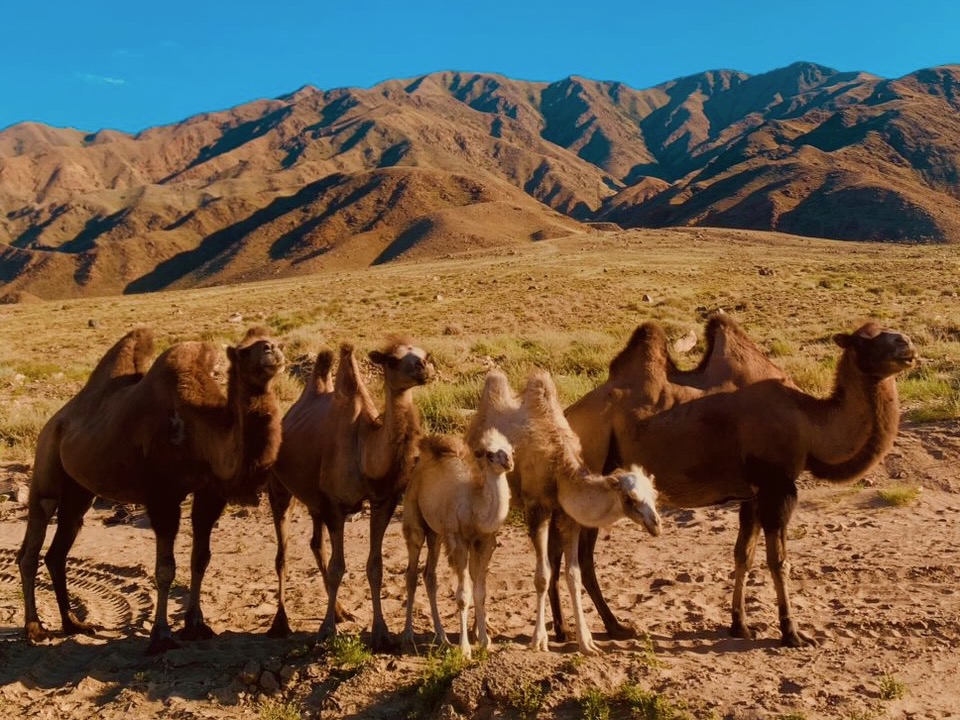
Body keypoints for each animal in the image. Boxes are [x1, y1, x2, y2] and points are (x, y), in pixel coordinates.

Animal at [16, 330, 284, 656]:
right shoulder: (162, 496)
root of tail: (54, 420)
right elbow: (165, 569)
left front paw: (196, 626)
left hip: (79, 491)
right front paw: (161, 636)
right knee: (33, 541)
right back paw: (35, 629)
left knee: (58, 550)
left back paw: (73, 624)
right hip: (47, 464)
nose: (271, 349)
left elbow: (201, 558)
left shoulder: (209, 493)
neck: (200, 431)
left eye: (272, 341)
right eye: (244, 352)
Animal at [268, 336, 436, 648]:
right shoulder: (336, 506)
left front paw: (381, 632)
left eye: (424, 353)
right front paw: (326, 631)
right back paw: (280, 623)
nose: (424, 367)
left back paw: (341, 611)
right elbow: (338, 567)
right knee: (282, 555)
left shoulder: (383, 501)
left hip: (314, 501)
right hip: (279, 489)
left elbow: (375, 566)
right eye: (392, 360)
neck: (364, 449)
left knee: (315, 544)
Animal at [400, 428, 512, 660]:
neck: (475, 506)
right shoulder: (458, 540)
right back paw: (408, 634)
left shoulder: (482, 541)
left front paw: (485, 642)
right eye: (489, 454)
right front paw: (465, 649)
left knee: (430, 575)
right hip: (414, 516)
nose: (509, 461)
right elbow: (463, 595)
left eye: (510, 449)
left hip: (436, 533)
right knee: (411, 573)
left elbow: (480, 592)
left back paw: (441, 636)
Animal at [468, 368, 664, 656]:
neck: (559, 467)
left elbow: (573, 575)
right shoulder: (537, 510)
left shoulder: (567, 517)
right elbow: (542, 575)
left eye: (654, 495)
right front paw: (539, 640)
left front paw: (587, 643)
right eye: (631, 498)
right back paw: (479, 632)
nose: (656, 524)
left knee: (488, 552)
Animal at [552, 312, 792, 640]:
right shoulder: (774, 485)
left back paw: (588, 627)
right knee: (573, 552)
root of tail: (566, 415)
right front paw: (790, 633)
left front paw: (741, 625)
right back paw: (602, 627)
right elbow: (776, 557)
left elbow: (745, 553)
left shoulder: (752, 492)